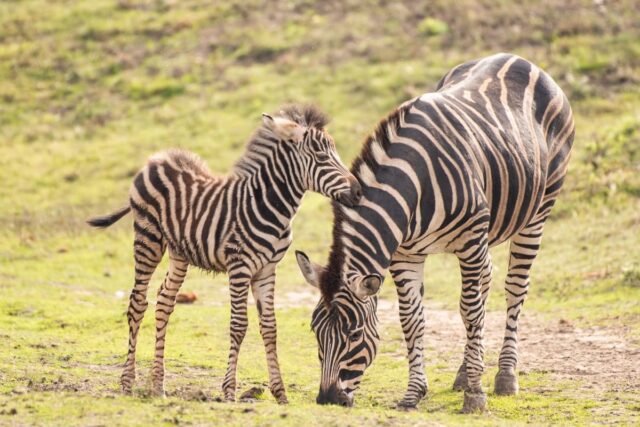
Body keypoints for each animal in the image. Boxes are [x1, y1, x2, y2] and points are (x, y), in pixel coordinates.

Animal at [87, 104, 362, 404]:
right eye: (322, 156)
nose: (359, 191)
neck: (269, 206)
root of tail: (157, 158)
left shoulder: (267, 270)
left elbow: (270, 328)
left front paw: (280, 395)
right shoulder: (240, 266)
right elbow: (239, 326)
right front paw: (229, 391)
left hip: (179, 252)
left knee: (164, 302)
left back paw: (158, 384)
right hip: (148, 238)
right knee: (137, 303)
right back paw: (127, 383)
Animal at [296, 52, 576, 412]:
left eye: (355, 334)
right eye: (314, 331)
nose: (327, 400)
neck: (413, 184)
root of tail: (520, 59)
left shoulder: (470, 241)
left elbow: (470, 311)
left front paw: (475, 395)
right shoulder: (406, 254)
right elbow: (412, 320)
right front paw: (414, 393)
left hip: (537, 212)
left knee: (514, 288)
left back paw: (504, 376)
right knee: (485, 284)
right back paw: (466, 371)